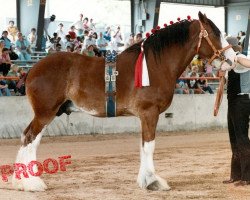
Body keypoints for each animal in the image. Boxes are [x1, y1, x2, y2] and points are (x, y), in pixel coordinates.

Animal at [13, 11, 229, 191]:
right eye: (215, 33)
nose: (230, 58)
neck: (155, 65)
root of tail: (32, 69)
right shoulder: (150, 113)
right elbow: (149, 146)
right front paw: (153, 182)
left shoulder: (145, 116)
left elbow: (143, 146)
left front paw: (144, 180)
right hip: (45, 113)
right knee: (30, 138)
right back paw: (32, 183)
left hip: (50, 113)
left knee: (29, 138)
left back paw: (22, 181)